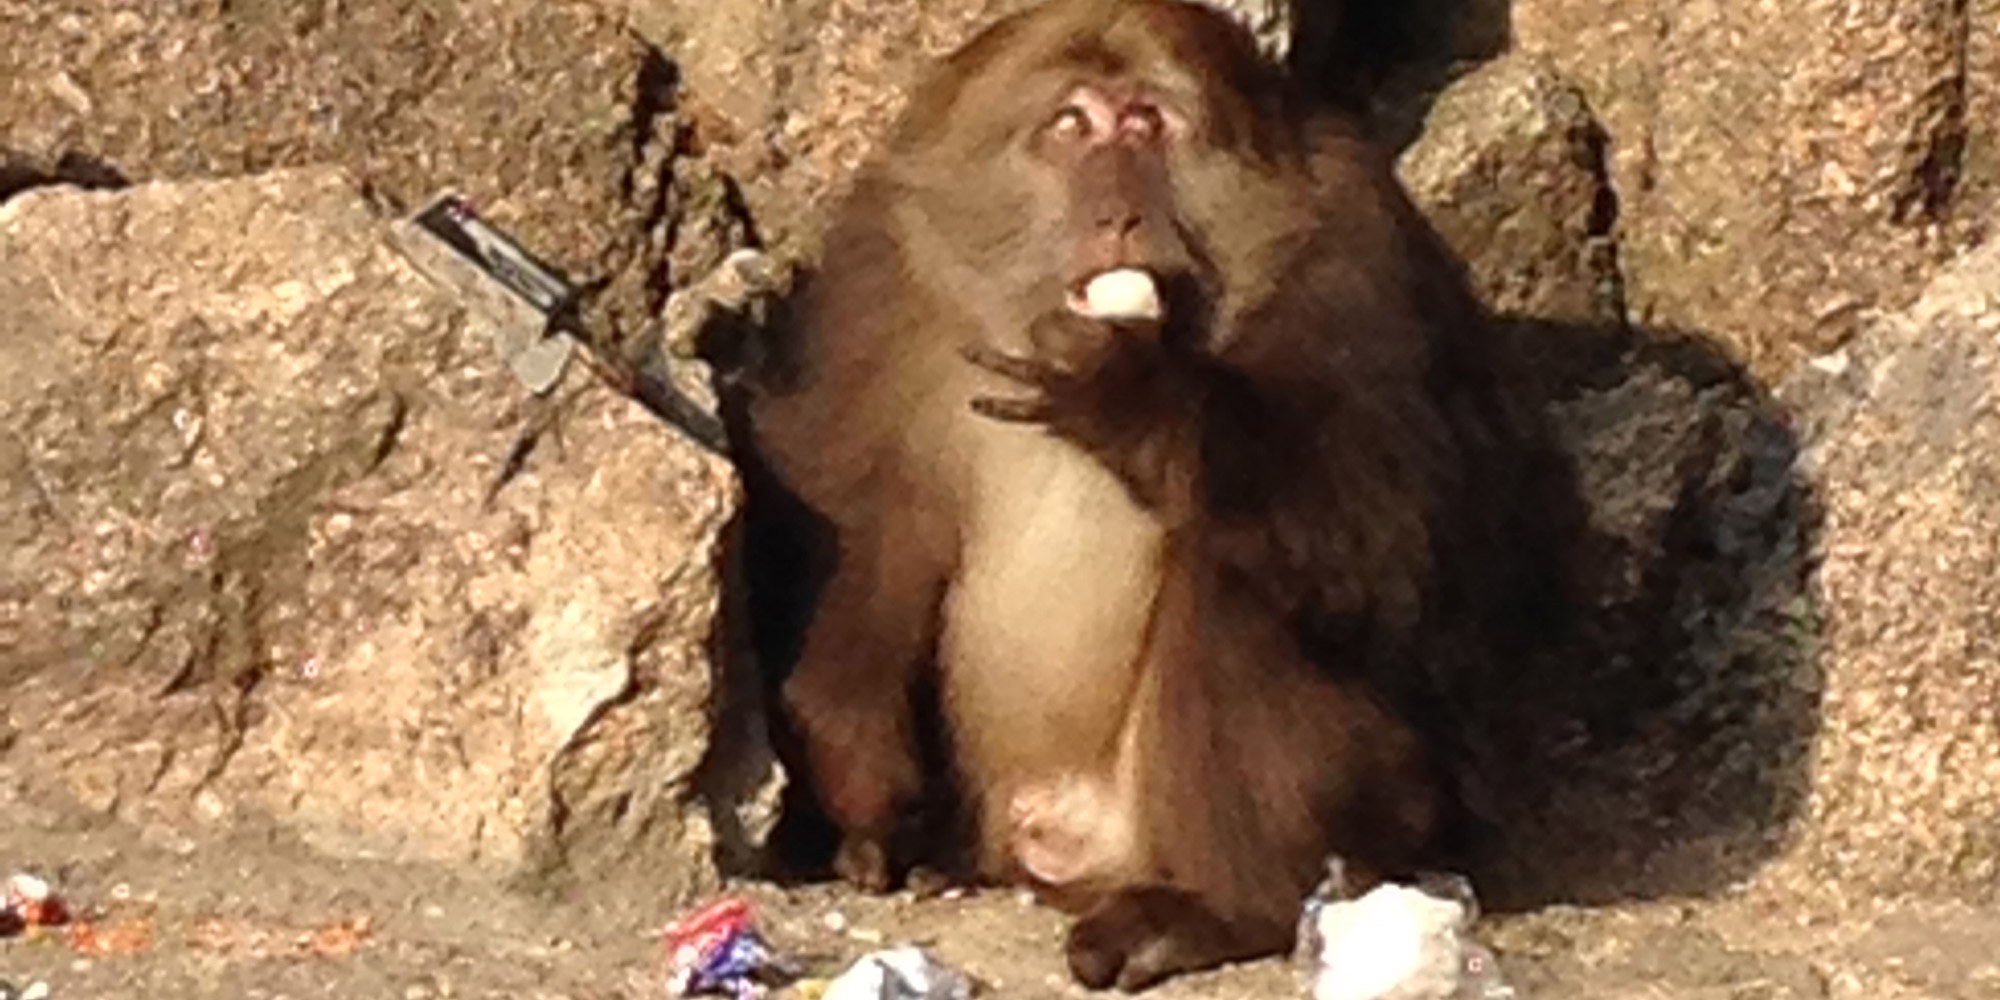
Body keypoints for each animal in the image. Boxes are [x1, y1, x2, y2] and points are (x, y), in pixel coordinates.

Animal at [736, 0, 1576, 988]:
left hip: (1387, 810)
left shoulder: (1358, 261)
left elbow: (1412, 549)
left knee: (1236, 577)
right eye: (1073, 124)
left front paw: (1137, 400)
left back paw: (1223, 908)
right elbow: (866, 513)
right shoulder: (883, 271)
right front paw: (856, 761)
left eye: (1146, 122)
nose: (1119, 213)